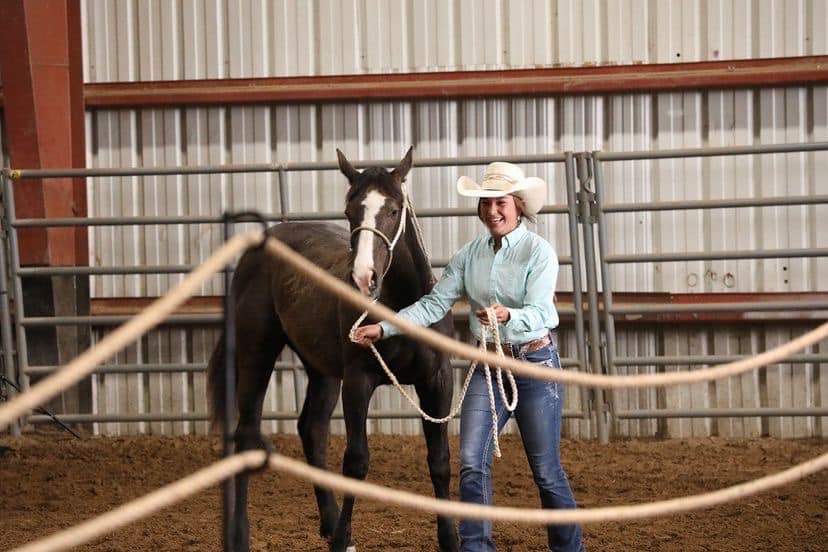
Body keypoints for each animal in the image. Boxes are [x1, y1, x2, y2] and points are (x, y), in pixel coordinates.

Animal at [207, 147, 459, 552]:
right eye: (349, 210)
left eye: (394, 209)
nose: (363, 278)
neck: (400, 308)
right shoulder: (358, 381)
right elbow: (356, 462)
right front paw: (344, 540)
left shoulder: (437, 380)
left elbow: (440, 460)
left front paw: (450, 539)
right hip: (256, 354)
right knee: (247, 436)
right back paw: (241, 535)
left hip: (322, 371)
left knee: (313, 431)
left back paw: (327, 521)